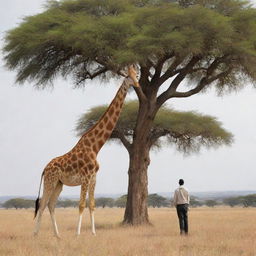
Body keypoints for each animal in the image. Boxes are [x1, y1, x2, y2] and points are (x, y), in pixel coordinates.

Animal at [34, 65, 140, 237]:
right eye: (128, 76)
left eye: (136, 75)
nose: (137, 84)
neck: (95, 147)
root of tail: (44, 168)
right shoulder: (85, 177)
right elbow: (81, 204)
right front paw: (78, 234)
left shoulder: (93, 178)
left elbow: (92, 204)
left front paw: (93, 233)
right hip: (50, 181)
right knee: (42, 204)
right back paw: (35, 234)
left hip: (59, 184)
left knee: (50, 205)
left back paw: (58, 235)